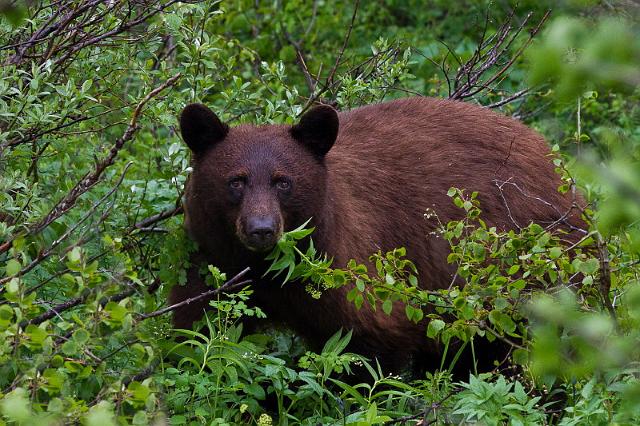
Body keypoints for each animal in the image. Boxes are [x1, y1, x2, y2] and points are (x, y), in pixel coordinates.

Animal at [169, 97, 584, 376]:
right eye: (236, 181)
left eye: (283, 182)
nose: (261, 229)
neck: (267, 267)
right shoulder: (211, 256)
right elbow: (194, 332)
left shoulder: (346, 261)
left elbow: (369, 345)